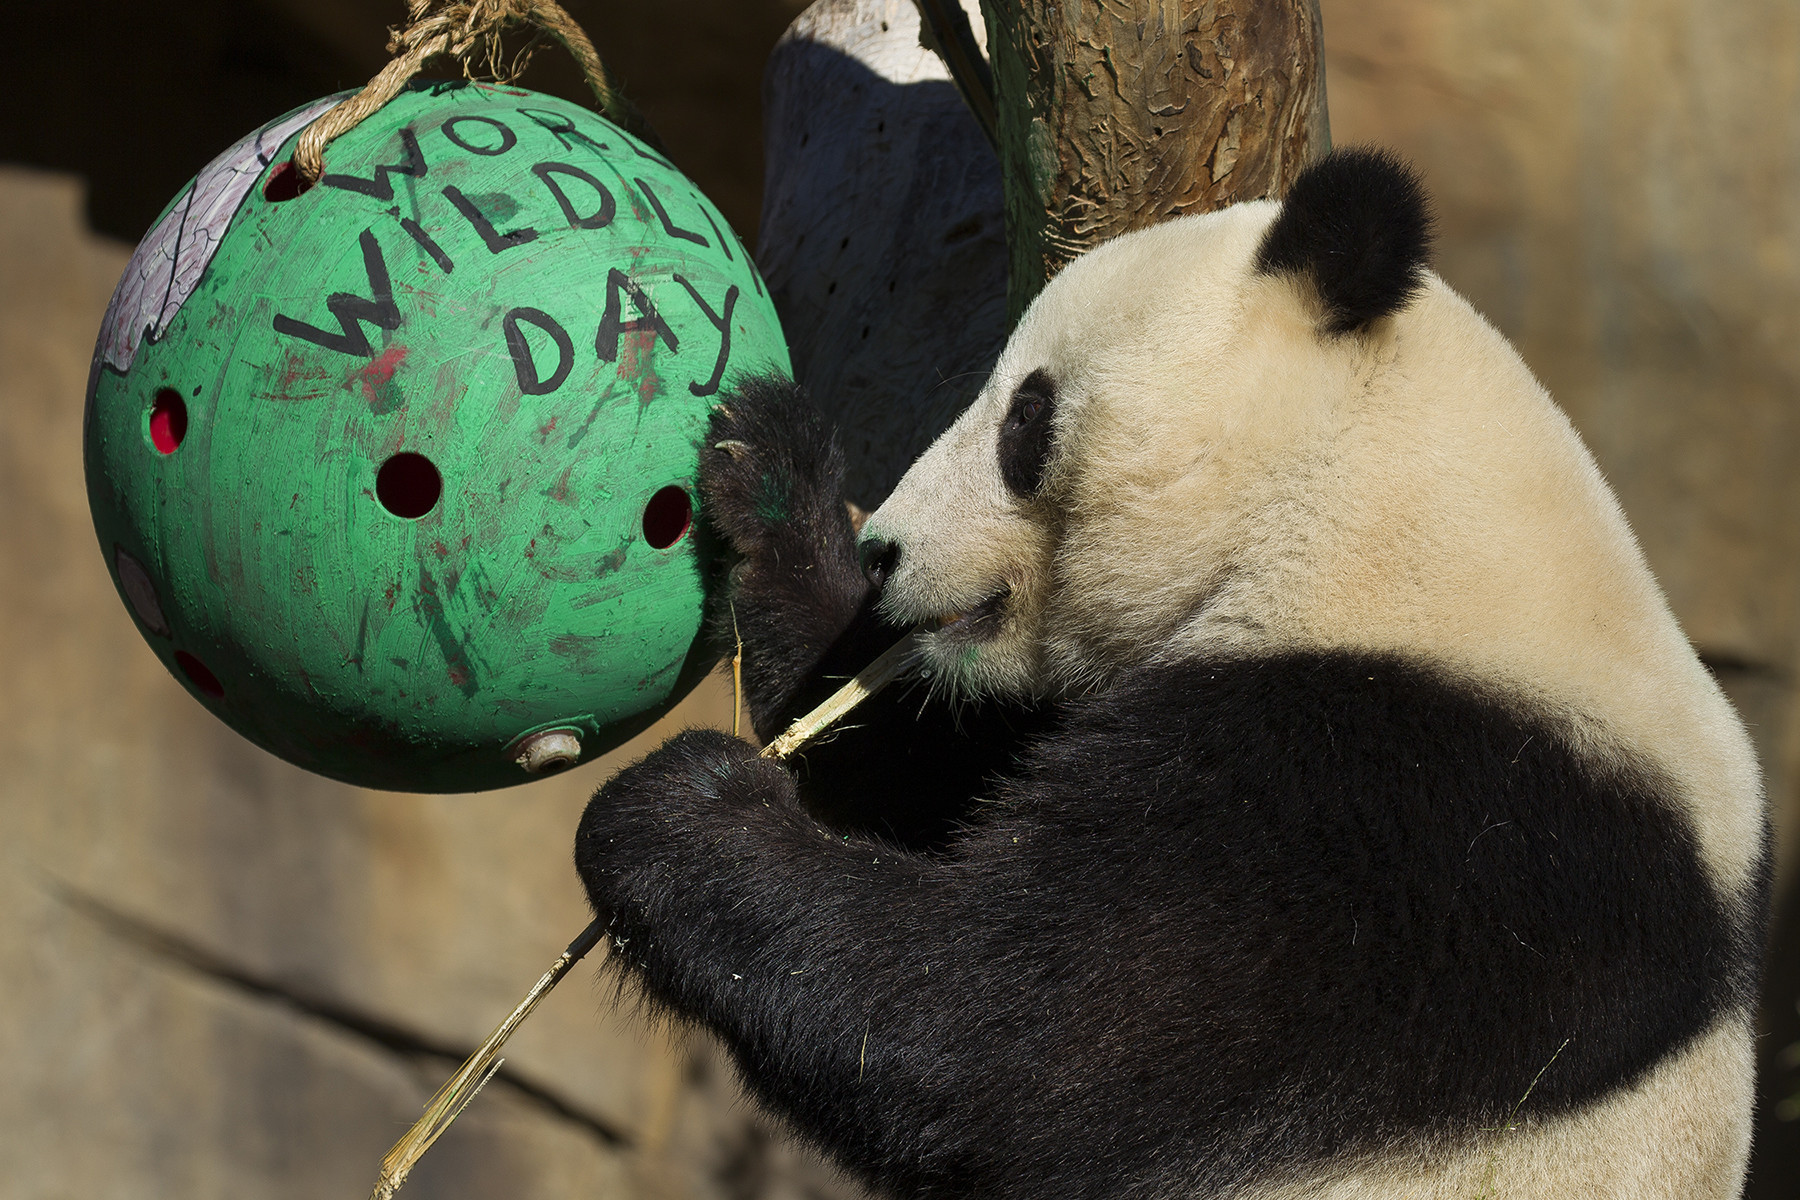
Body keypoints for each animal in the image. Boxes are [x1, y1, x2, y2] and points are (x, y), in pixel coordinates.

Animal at [579, 152, 1771, 1200]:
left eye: (1026, 415)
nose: (888, 552)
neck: (1364, 501)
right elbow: (910, 759)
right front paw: (771, 480)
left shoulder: (1411, 818)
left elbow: (1014, 1035)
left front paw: (681, 810)